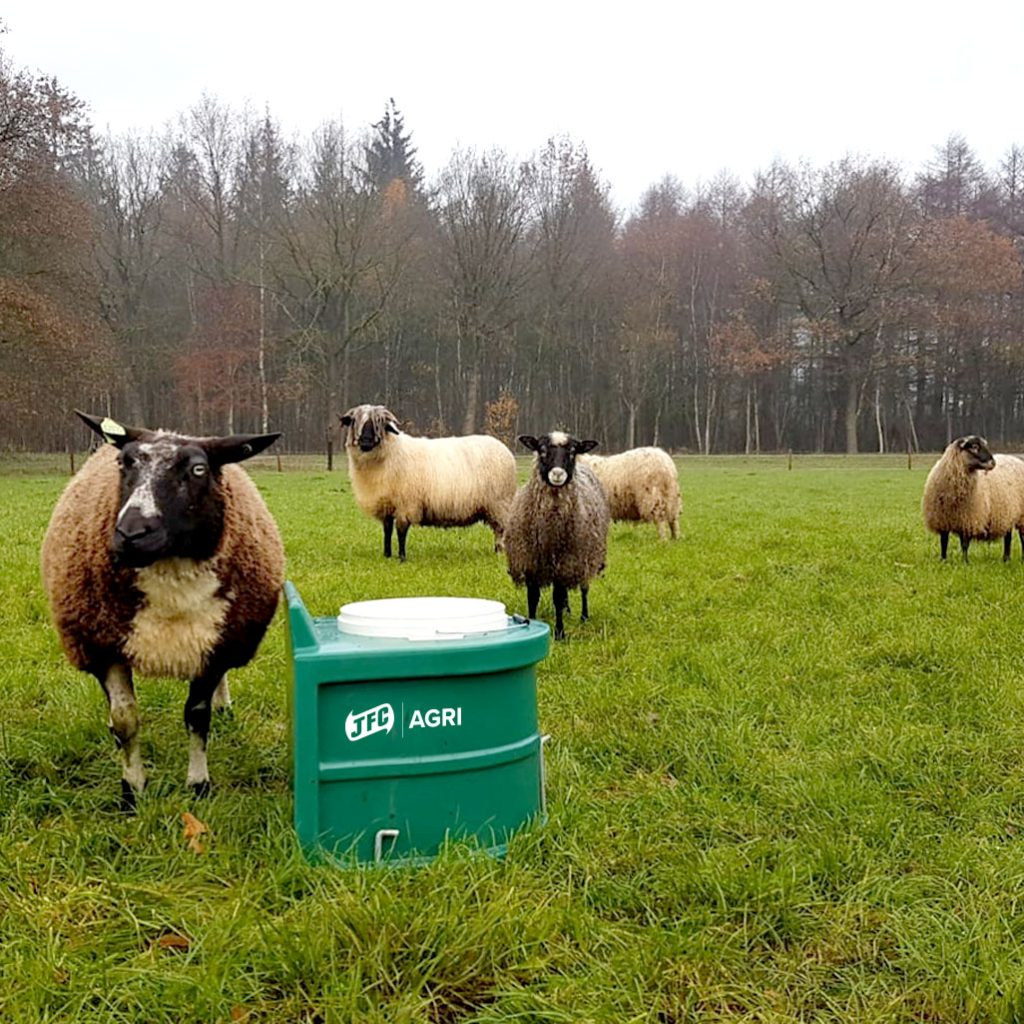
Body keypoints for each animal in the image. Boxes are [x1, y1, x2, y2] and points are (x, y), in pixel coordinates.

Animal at [40, 409, 284, 806]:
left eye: (198, 469)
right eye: (123, 463)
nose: (131, 534)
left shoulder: (213, 647)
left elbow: (197, 716)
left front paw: (198, 785)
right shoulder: (104, 647)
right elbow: (125, 720)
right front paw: (132, 790)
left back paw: (224, 705)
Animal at [342, 401, 516, 561]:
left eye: (379, 424)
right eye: (354, 421)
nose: (365, 442)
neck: (392, 452)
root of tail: (504, 449)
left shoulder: (406, 504)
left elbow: (401, 532)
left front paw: (402, 557)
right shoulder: (387, 504)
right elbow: (387, 531)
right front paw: (387, 555)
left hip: (499, 504)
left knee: (501, 531)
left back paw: (500, 553)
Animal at [503, 432, 606, 638]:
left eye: (573, 451)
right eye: (542, 450)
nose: (557, 474)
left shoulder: (566, 563)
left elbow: (557, 597)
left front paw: (560, 633)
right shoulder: (530, 563)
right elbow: (533, 598)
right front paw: (533, 621)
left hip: (585, 558)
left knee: (583, 588)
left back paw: (583, 616)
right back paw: (568, 611)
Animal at [921, 430, 1024, 561]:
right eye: (974, 447)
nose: (993, 463)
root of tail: (1015, 459)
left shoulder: (968, 519)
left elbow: (964, 544)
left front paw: (965, 561)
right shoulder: (943, 519)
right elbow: (944, 541)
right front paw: (943, 560)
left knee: (1022, 537)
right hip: (1007, 512)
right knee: (1008, 536)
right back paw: (1006, 559)